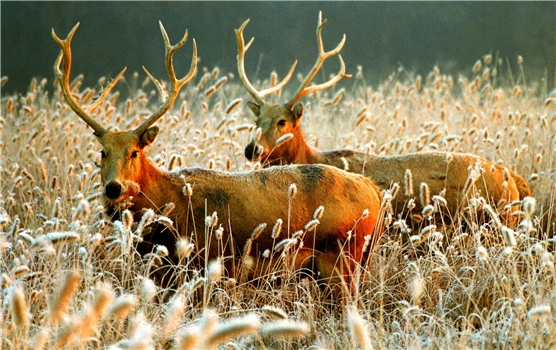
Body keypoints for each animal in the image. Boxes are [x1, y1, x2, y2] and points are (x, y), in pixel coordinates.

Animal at [52, 21, 384, 298]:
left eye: (134, 151)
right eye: (102, 152)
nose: (114, 188)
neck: (169, 208)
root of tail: (375, 193)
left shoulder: (206, 263)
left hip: (341, 257)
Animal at [237, 12, 532, 237]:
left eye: (282, 121)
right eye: (256, 120)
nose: (252, 149)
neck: (313, 158)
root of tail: (514, 180)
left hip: (492, 222)